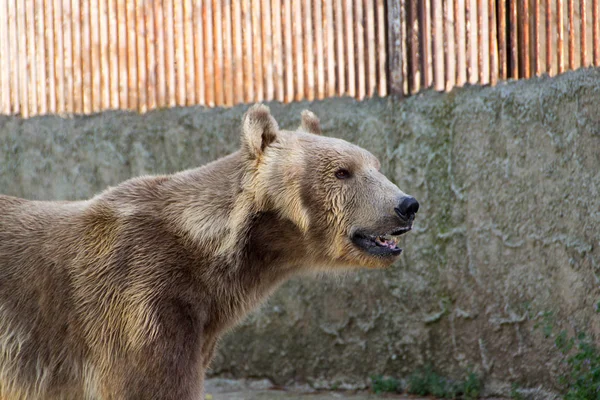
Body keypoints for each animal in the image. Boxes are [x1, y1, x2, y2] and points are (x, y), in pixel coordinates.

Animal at [0, 104, 418, 398]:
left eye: (375, 164)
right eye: (342, 171)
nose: (407, 204)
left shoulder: (197, 323)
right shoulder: (138, 304)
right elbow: (151, 384)